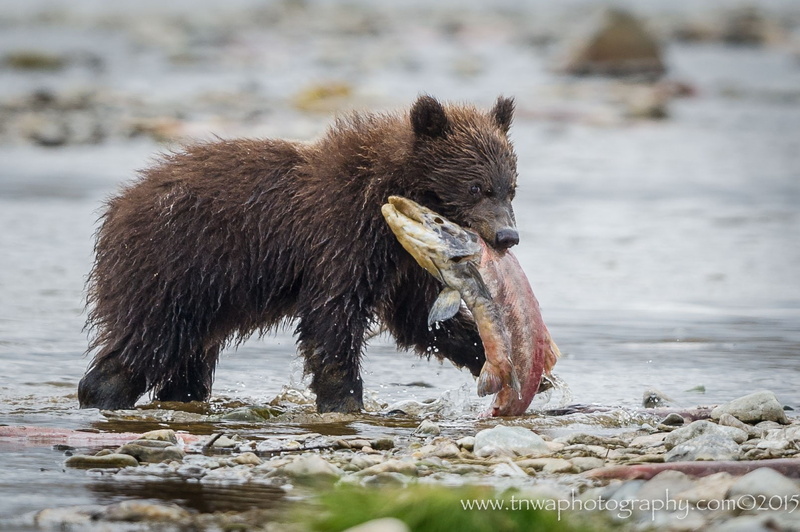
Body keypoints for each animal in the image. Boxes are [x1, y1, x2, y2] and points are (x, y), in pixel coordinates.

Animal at [79, 94, 520, 413]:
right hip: (174, 268)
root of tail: (117, 207)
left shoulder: (401, 262)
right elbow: (332, 317)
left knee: (187, 360)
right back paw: (101, 392)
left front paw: (502, 360)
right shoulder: (340, 235)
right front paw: (343, 399)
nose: (507, 235)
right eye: (476, 187)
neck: (389, 193)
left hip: (204, 296)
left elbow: (418, 319)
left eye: (510, 186)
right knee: (148, 341)